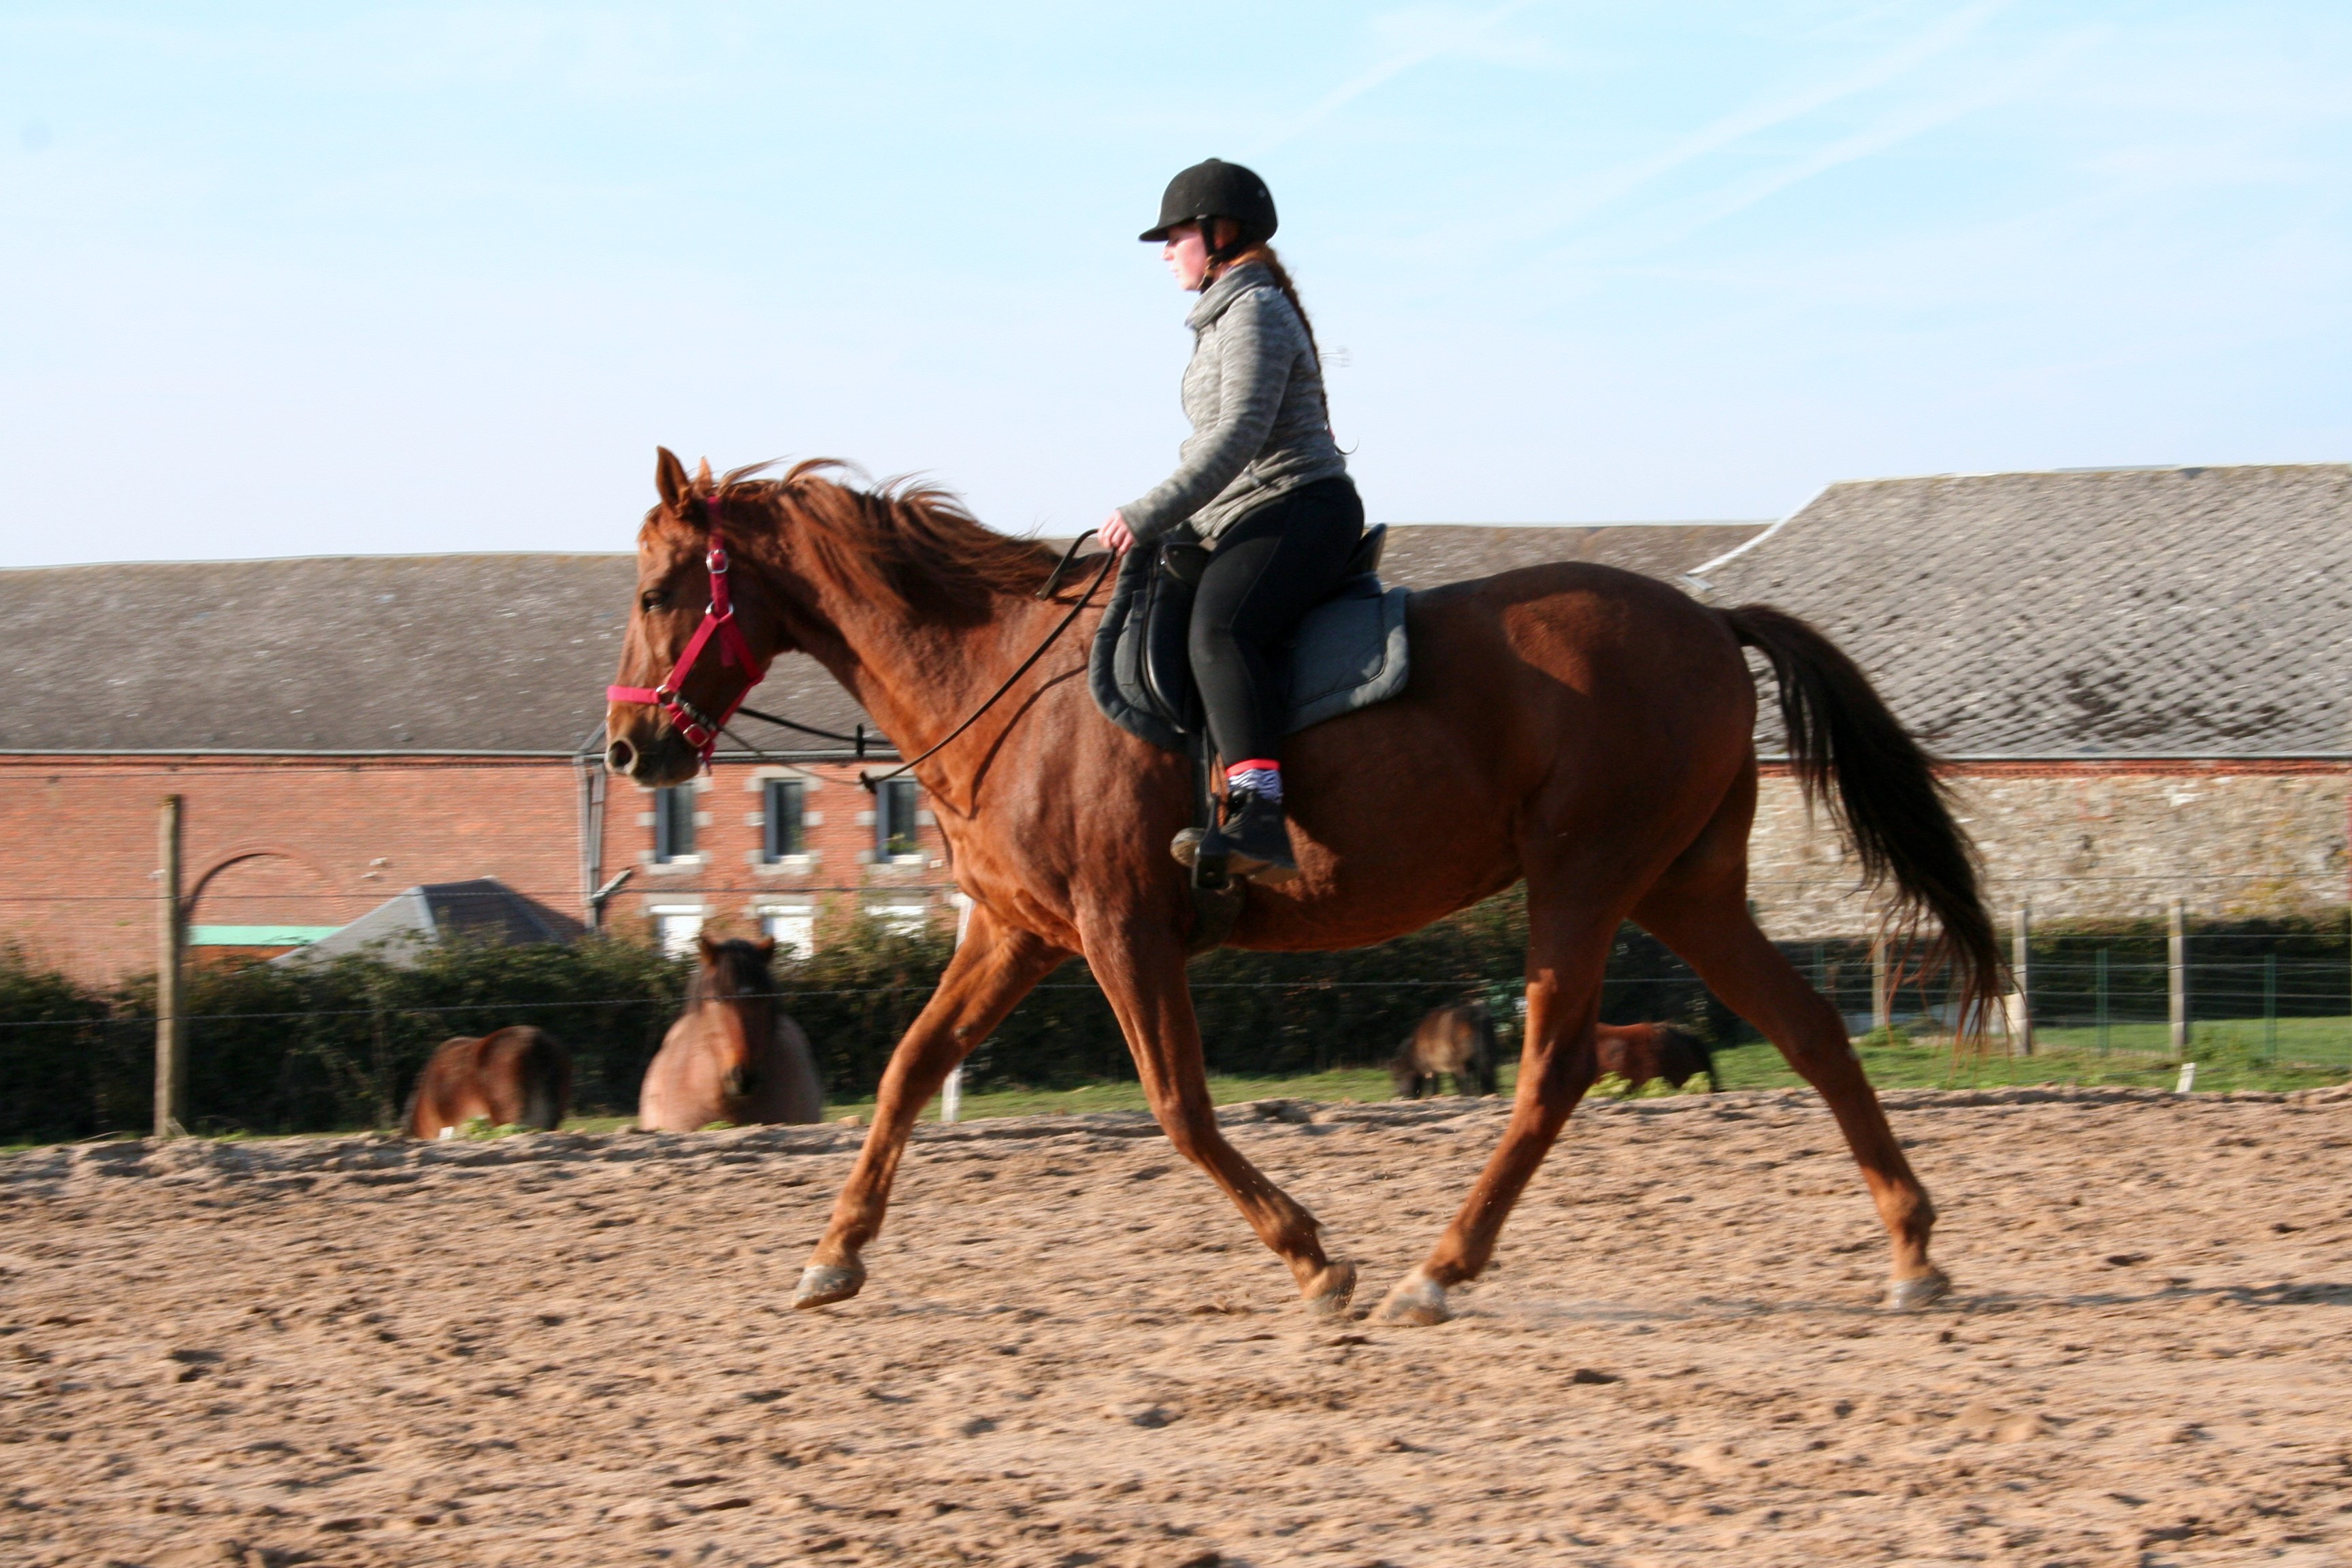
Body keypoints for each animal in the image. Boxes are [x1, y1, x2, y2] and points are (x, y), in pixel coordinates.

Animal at [1391, 1000, 1499, 1098]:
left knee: (1466, 1079)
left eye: (1398, 1077)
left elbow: (1434, 1087)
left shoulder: (1431, 1070)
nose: (1401, 1095)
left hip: (1461, 1063)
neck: (1415, 1049)